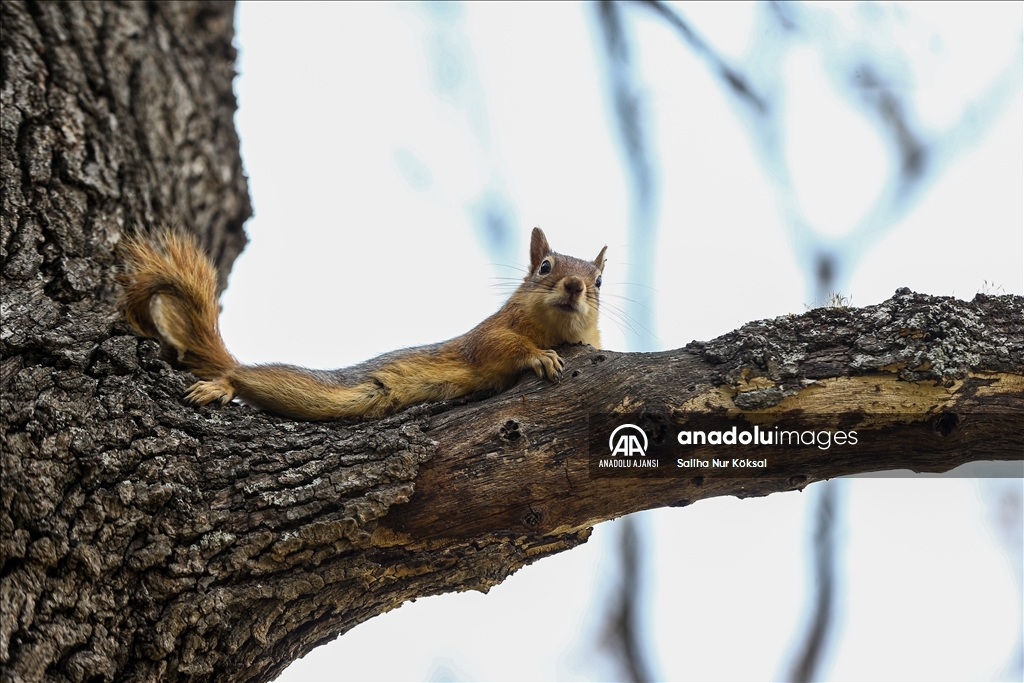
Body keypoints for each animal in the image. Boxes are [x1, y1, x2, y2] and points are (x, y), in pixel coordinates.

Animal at [123, 229, 610, 419]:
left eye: (599, 281)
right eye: (544, 267)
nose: (574, 286)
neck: (550, 328)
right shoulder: (485, 335)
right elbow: (500, 348)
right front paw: (539, 357)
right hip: (306, 389)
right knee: (246, 375)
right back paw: (221, 384)